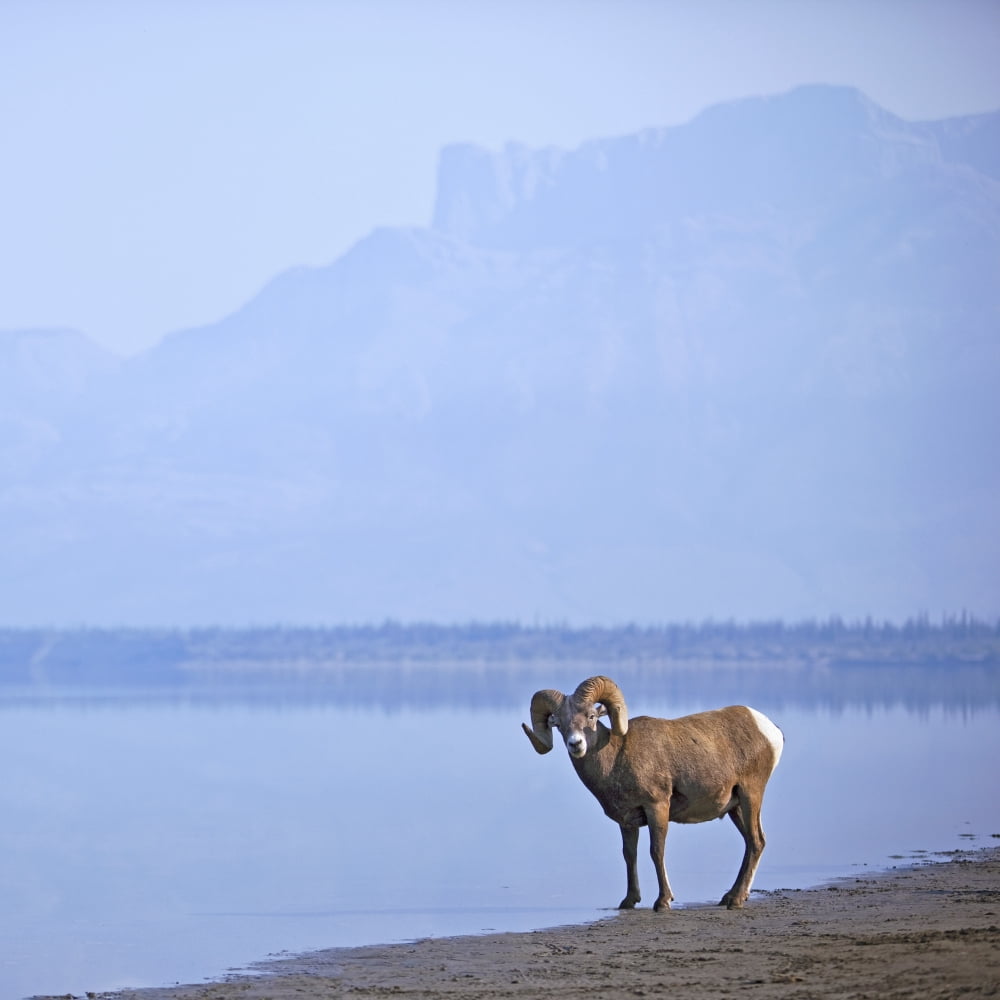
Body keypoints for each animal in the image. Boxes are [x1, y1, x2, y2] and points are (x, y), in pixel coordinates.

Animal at [522, 675, 783, 911]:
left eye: (591, 716)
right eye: (559, 724)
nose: (575, 744)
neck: (616, 758)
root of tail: (770, 730)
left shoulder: (656, 807)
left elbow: (656, 852)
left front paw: (663, 902)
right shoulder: (627, 821)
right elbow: (630, 855)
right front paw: (628, 901)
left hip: (751, 795)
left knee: (756, 842)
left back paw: (736, 900)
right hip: (735, 807)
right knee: (750, 842)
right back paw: (731, 896)